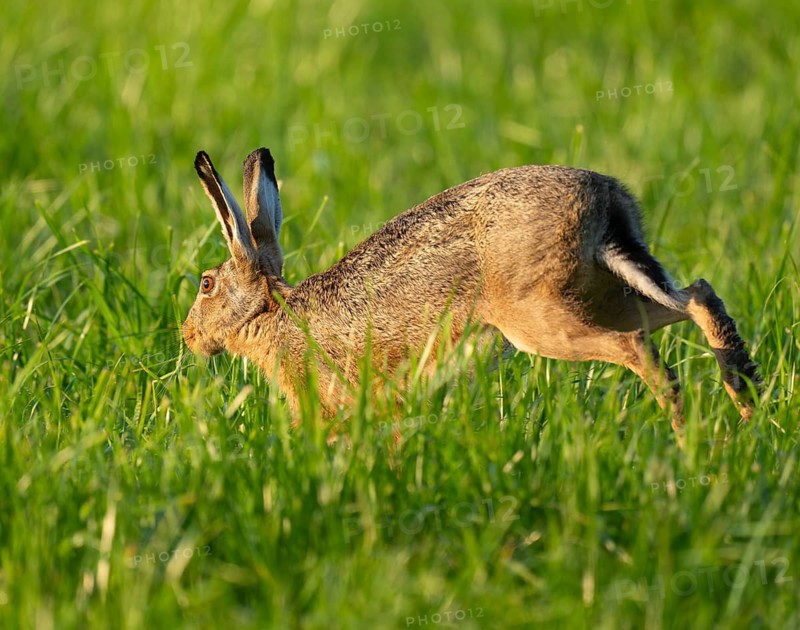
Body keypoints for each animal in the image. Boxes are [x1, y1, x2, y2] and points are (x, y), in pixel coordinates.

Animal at [182, 147, 761, 440]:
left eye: (206, 284)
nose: (186, 335)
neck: (269, 313)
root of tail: (602, 204)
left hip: (539, 315)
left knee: (636, 346)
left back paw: (688, 431)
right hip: (605, 292)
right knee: (697, 297)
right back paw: (747, 401)